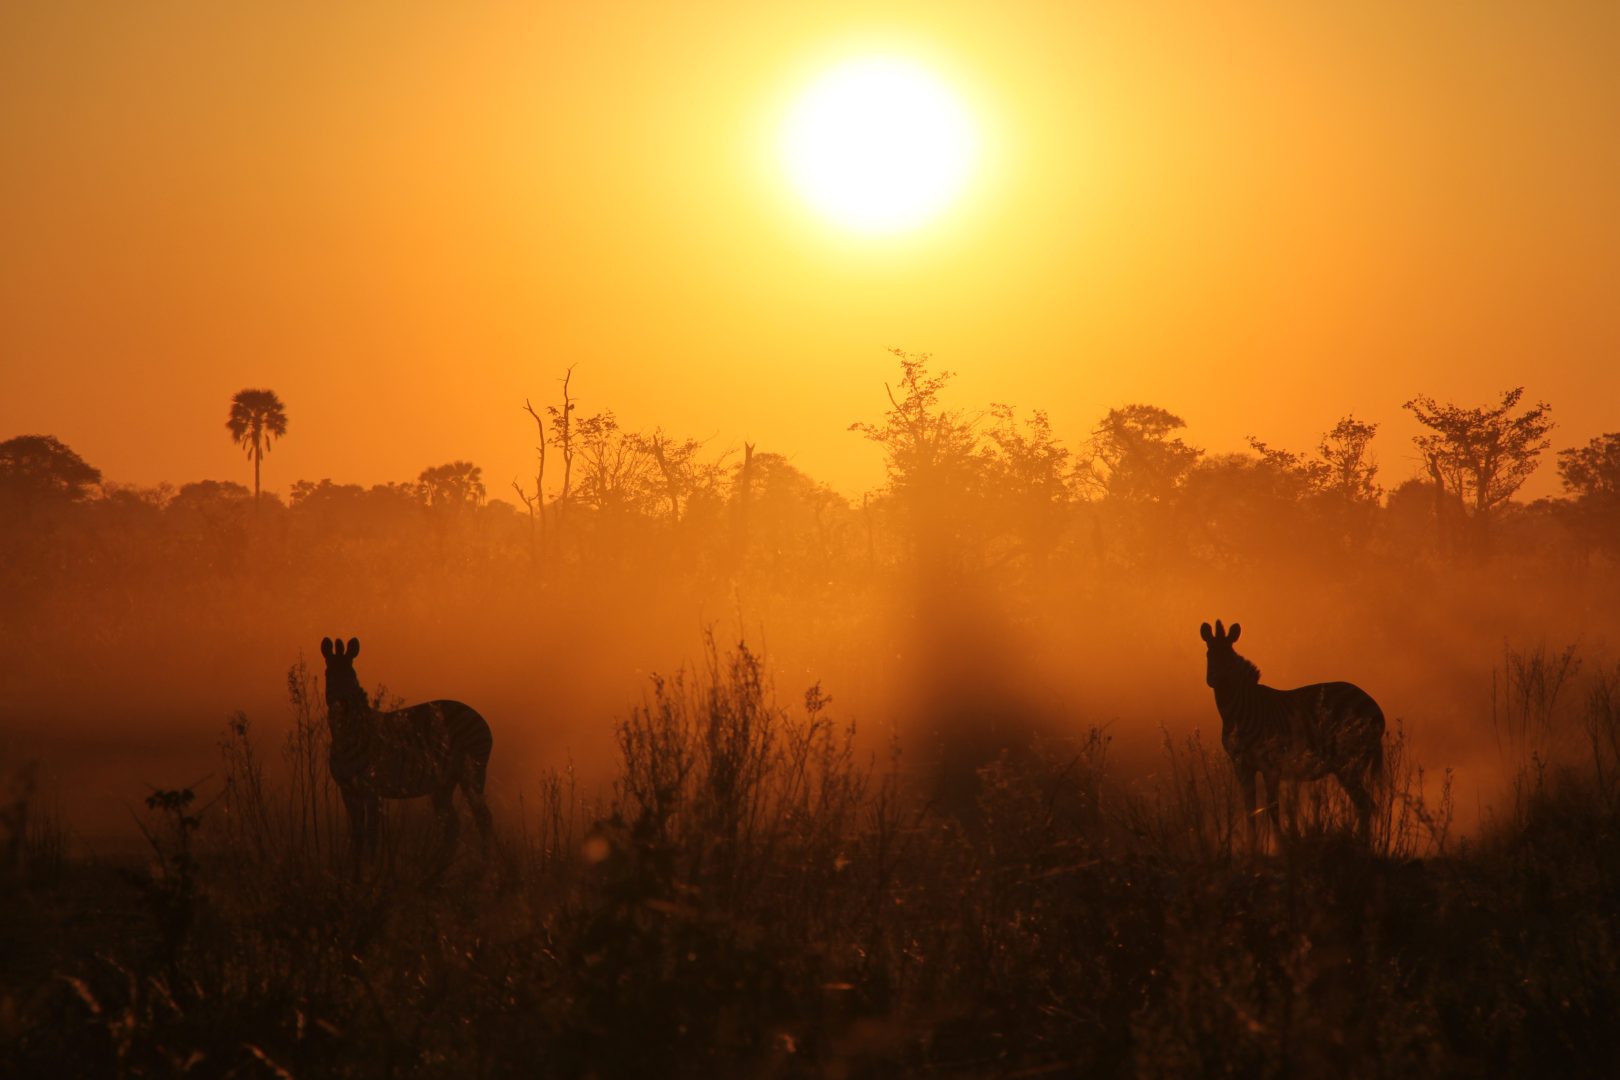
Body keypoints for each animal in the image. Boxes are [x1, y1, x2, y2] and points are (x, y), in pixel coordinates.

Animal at [320, 636, 494, 871]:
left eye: (352, 676)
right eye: (328, 675)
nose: (342, 705)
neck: (346, 736)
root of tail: (476, 714)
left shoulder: (372, 789)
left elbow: (372, 834)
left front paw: (370, 870)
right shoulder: (347, 789)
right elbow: (357, 834)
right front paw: (354, 870)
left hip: (472, 773)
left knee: (483, 818)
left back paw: (483, 869)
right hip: (444, 783)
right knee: (452, 825)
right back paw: (434, 869)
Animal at [1200, 620, 1385, 849]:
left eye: (1227, 655)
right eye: (1208, 654)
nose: (1212, 680)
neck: (1236, 712)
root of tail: (1374, 707)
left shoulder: (1271, 766)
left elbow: (1273, 808)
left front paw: (1281, 846)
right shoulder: (1241, 765)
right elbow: (1250, 810)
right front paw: (1252, 849)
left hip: (1349, 762)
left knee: (1365, 804)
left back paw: (1362, 845)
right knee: (1365, 804)